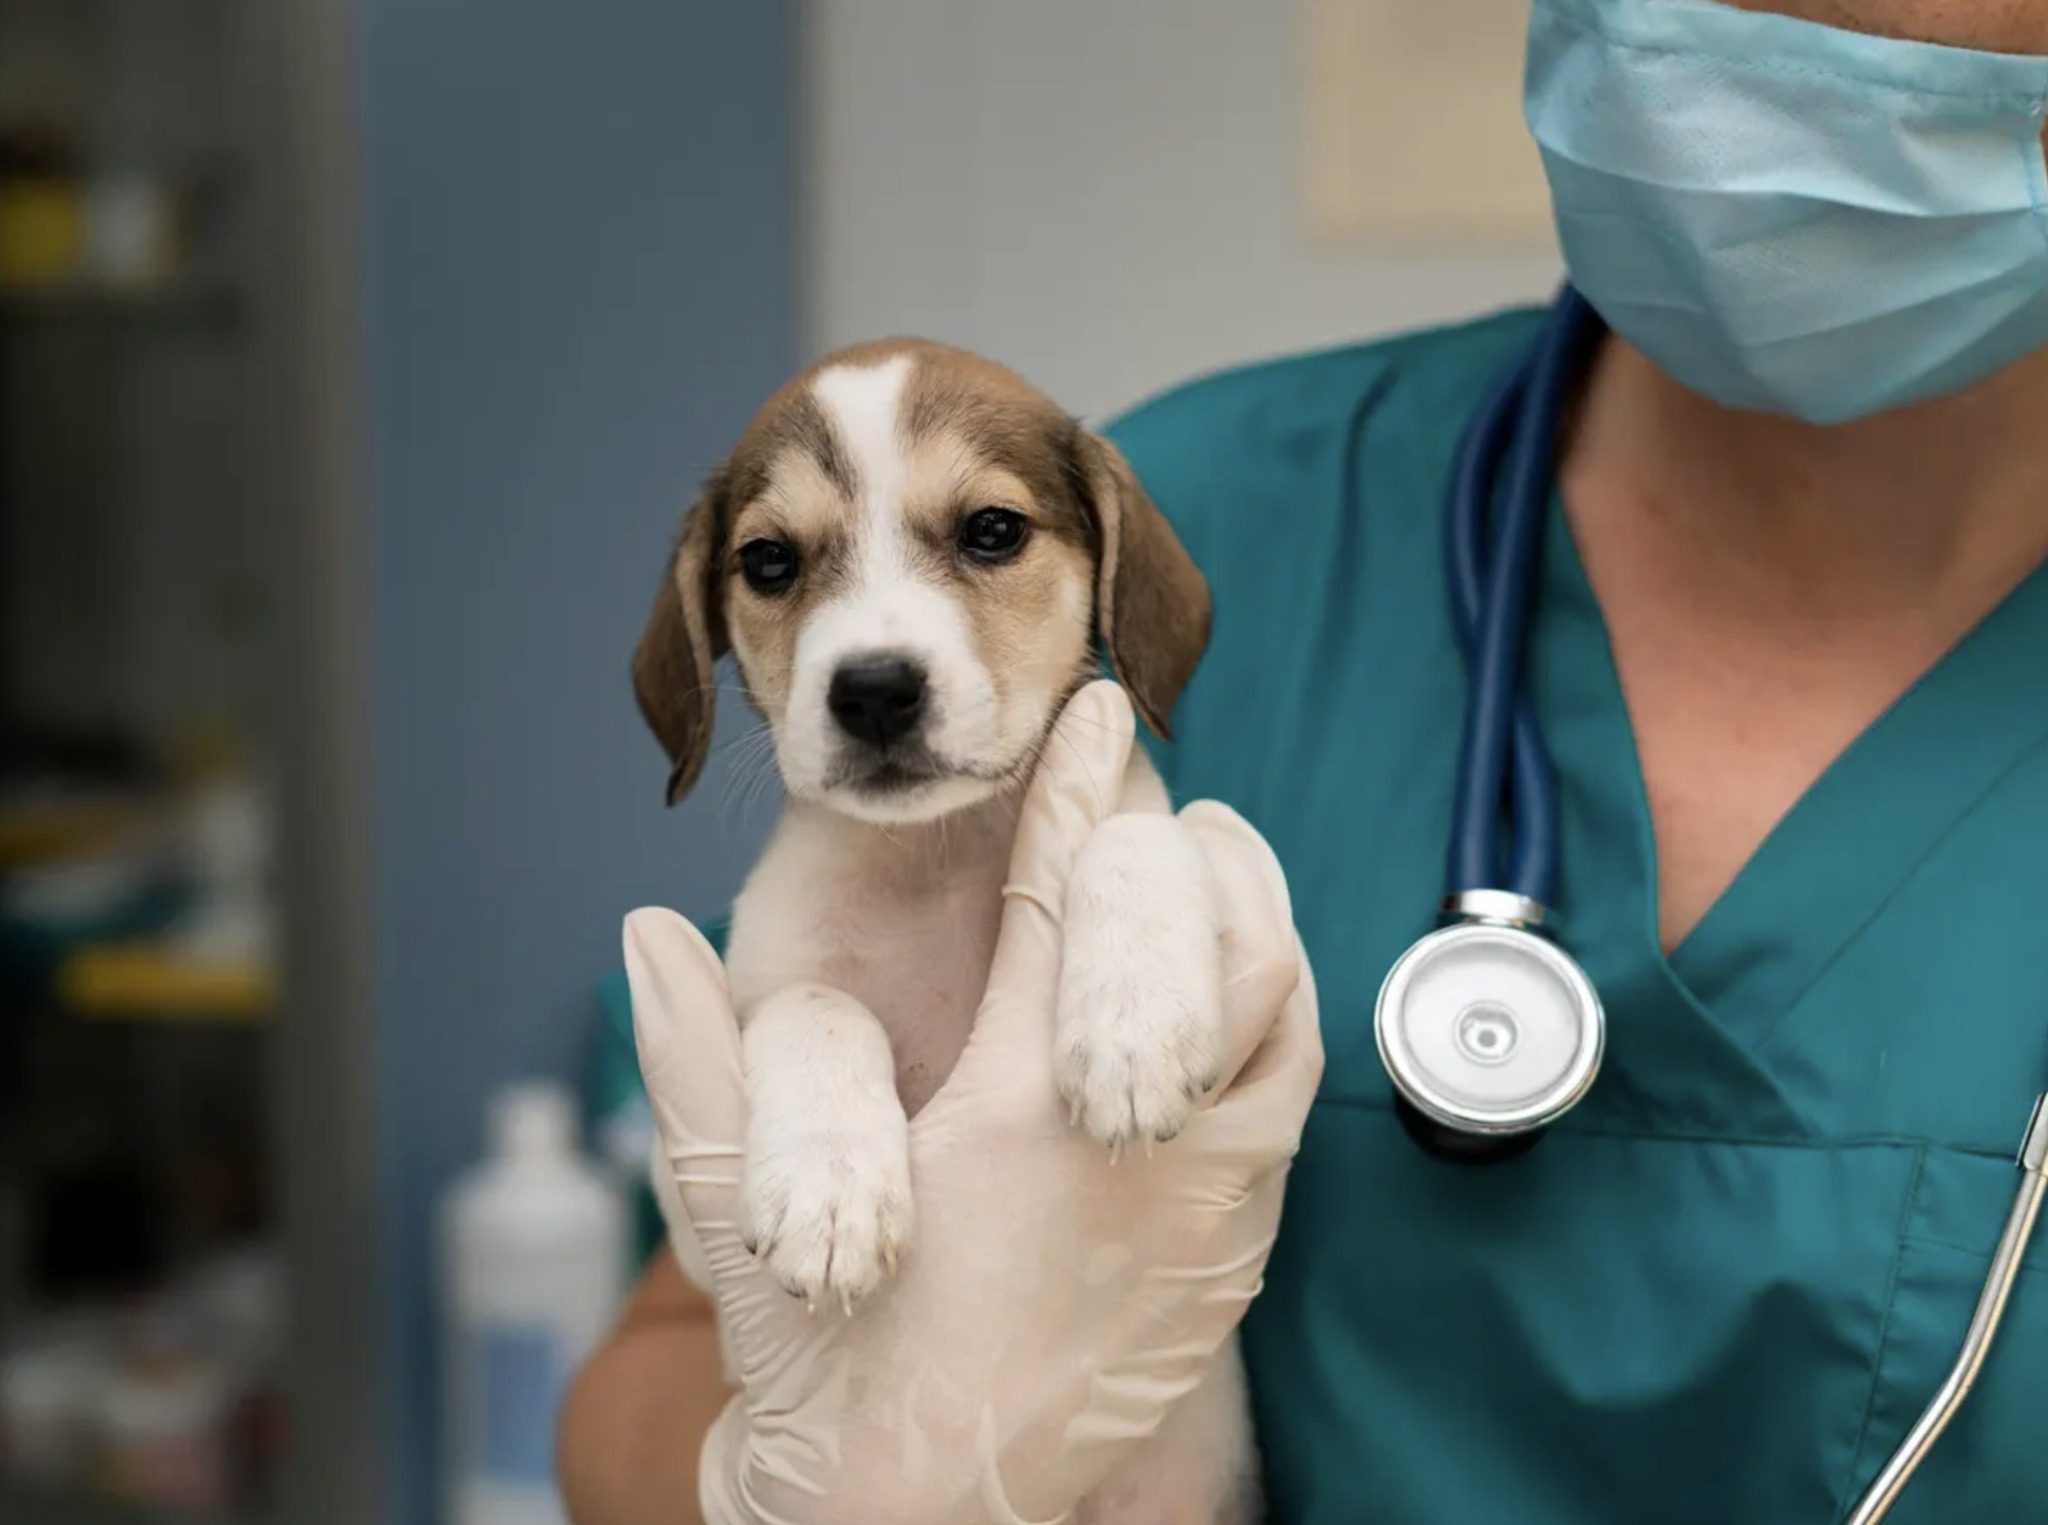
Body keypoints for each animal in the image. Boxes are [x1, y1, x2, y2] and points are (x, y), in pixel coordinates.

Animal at [634, 339, 1245, 1514]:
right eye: (768, 561)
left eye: (992, 530)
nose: (873, 689)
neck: (935, 861)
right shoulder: (689, 1168)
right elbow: (817, 1004)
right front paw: (829, 1183)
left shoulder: (1159, 821)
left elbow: (1137, 835)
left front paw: (1132, 1026)